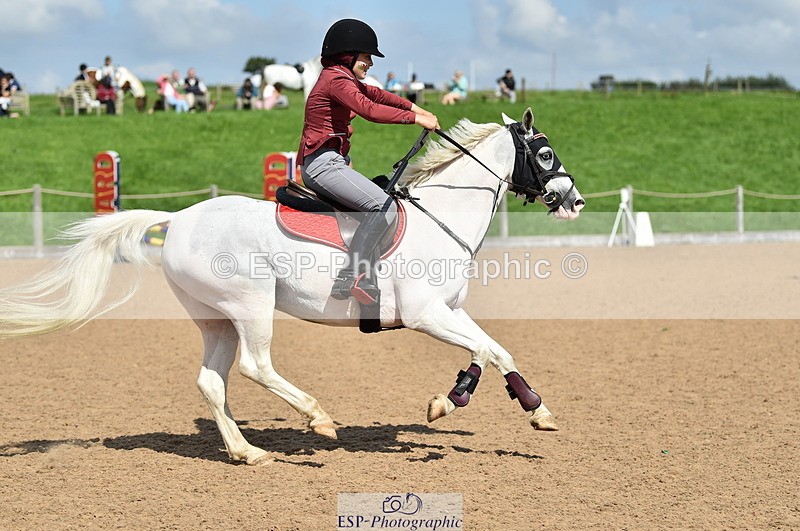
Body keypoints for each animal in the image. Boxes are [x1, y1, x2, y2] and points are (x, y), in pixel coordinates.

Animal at [0, 108, 584, 465]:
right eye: (545, 153)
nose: (573, 200)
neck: (438, 218)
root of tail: (179, 219)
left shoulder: (449, 311)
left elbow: (496, 349)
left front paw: (531, 410)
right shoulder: (425, 315)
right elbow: (484, 350)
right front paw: (451, 400)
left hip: (216, 318)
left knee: (213, 381)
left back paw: (247, 452)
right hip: (251, 306)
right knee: (255, 367)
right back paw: (318, 418)